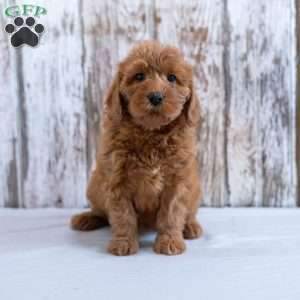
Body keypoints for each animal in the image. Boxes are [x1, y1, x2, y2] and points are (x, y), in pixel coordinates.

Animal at [70, 40, 203, 255]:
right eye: (139, 76)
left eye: (172, 78)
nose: (156, 97)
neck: (151, 132)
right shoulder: (117, 180)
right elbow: (123, 215)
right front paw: (123, 243)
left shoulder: (177, 181)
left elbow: (172, 212)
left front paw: (169, 241)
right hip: (94, 187)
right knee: (100, 211)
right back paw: (87, 218)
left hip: (195, 190)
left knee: (189, 212)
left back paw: (190, 226)